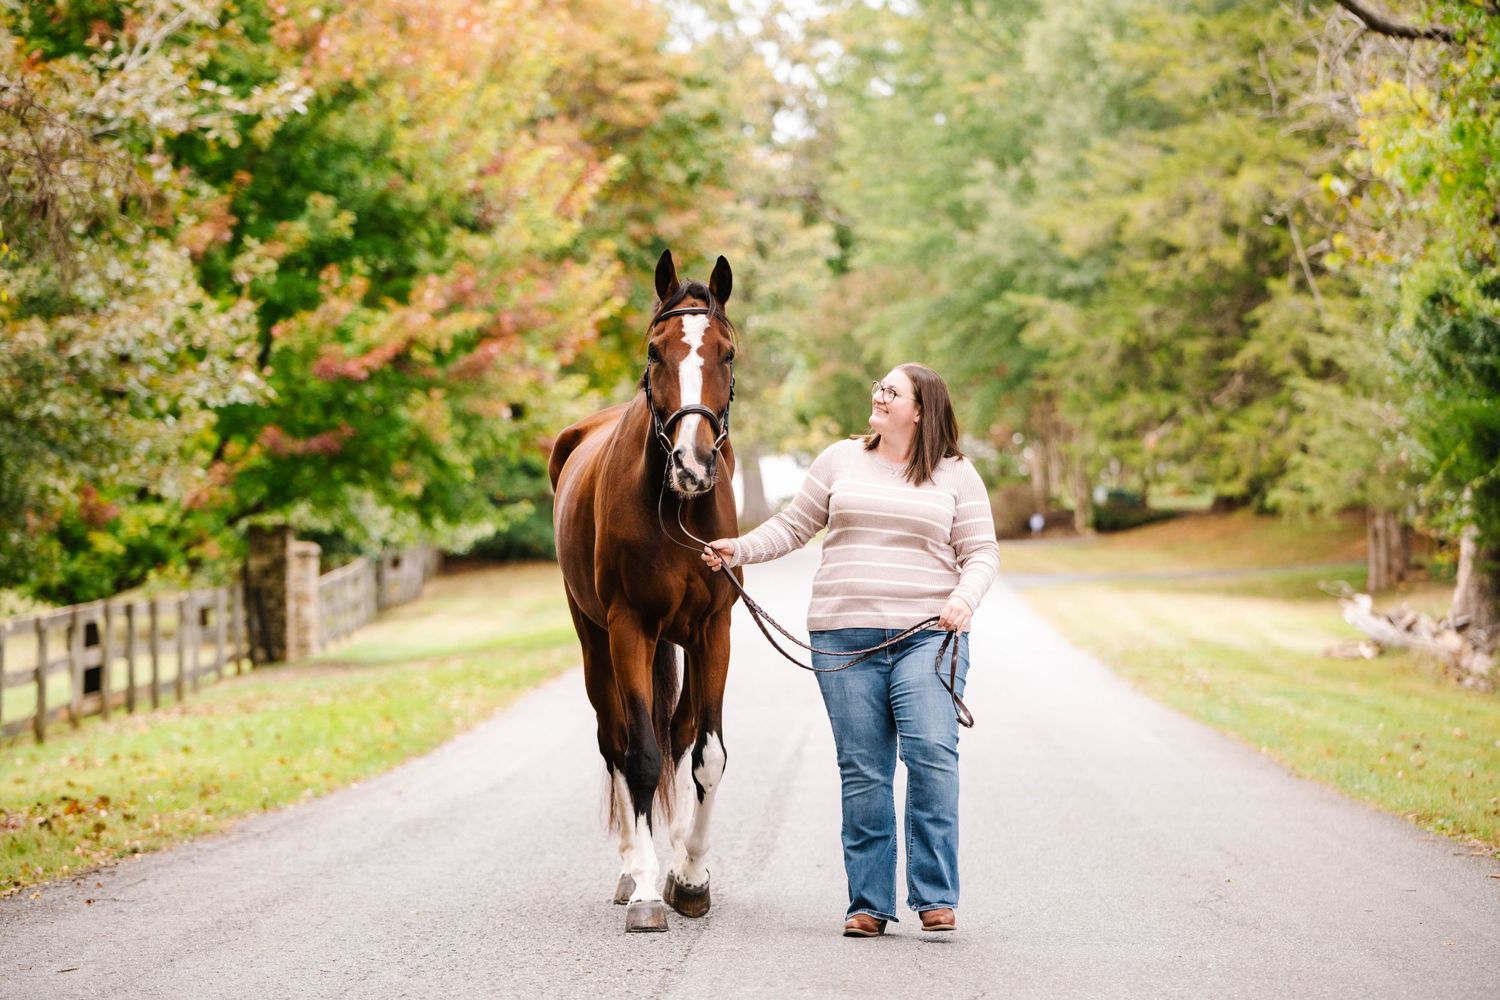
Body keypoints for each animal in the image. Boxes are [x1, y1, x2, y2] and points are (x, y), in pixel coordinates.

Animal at [548, 249, 741, 933]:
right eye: (656, 352)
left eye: (726, 353)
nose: (692, 465)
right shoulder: (629, 629)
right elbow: (639, 757)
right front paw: (650, 892)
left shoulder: (714, 630)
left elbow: (707, 755)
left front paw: (691, 877)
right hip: (594, 642)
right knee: (616, 740)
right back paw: (636, 868)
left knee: (679, 736)